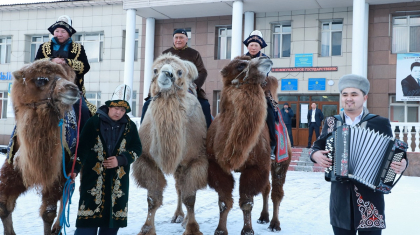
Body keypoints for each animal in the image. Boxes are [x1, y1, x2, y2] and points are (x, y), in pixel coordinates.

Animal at [0, 60, 80, 235]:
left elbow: (48, 213)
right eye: (41, 79)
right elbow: (3, 206)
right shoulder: (15, 168)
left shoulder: (56, 172)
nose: (73, 88)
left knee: (67, 191)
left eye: (64, 77)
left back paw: (57, 227)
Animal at [132, 53, 208, 235]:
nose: (167, 74)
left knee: (184, 187)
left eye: (179, 71)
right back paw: (178, 216)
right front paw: (147, 229)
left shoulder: (195, 160)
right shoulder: (147, 160)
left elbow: (190, 197)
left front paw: (192, 228)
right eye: (155, 70)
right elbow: (152, 198)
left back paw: (184, 219)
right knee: (178, 186)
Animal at [207, 55, 292, 235]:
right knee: (266, 188)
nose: (265, 58)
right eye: (240, 65)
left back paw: (274, 224)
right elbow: (223, 201)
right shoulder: (216, 166)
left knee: (276, 192)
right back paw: (263, 217)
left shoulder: (255, 166)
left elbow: (247, 202)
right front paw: (220, 230)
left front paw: (247, 230)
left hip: (281, 161)